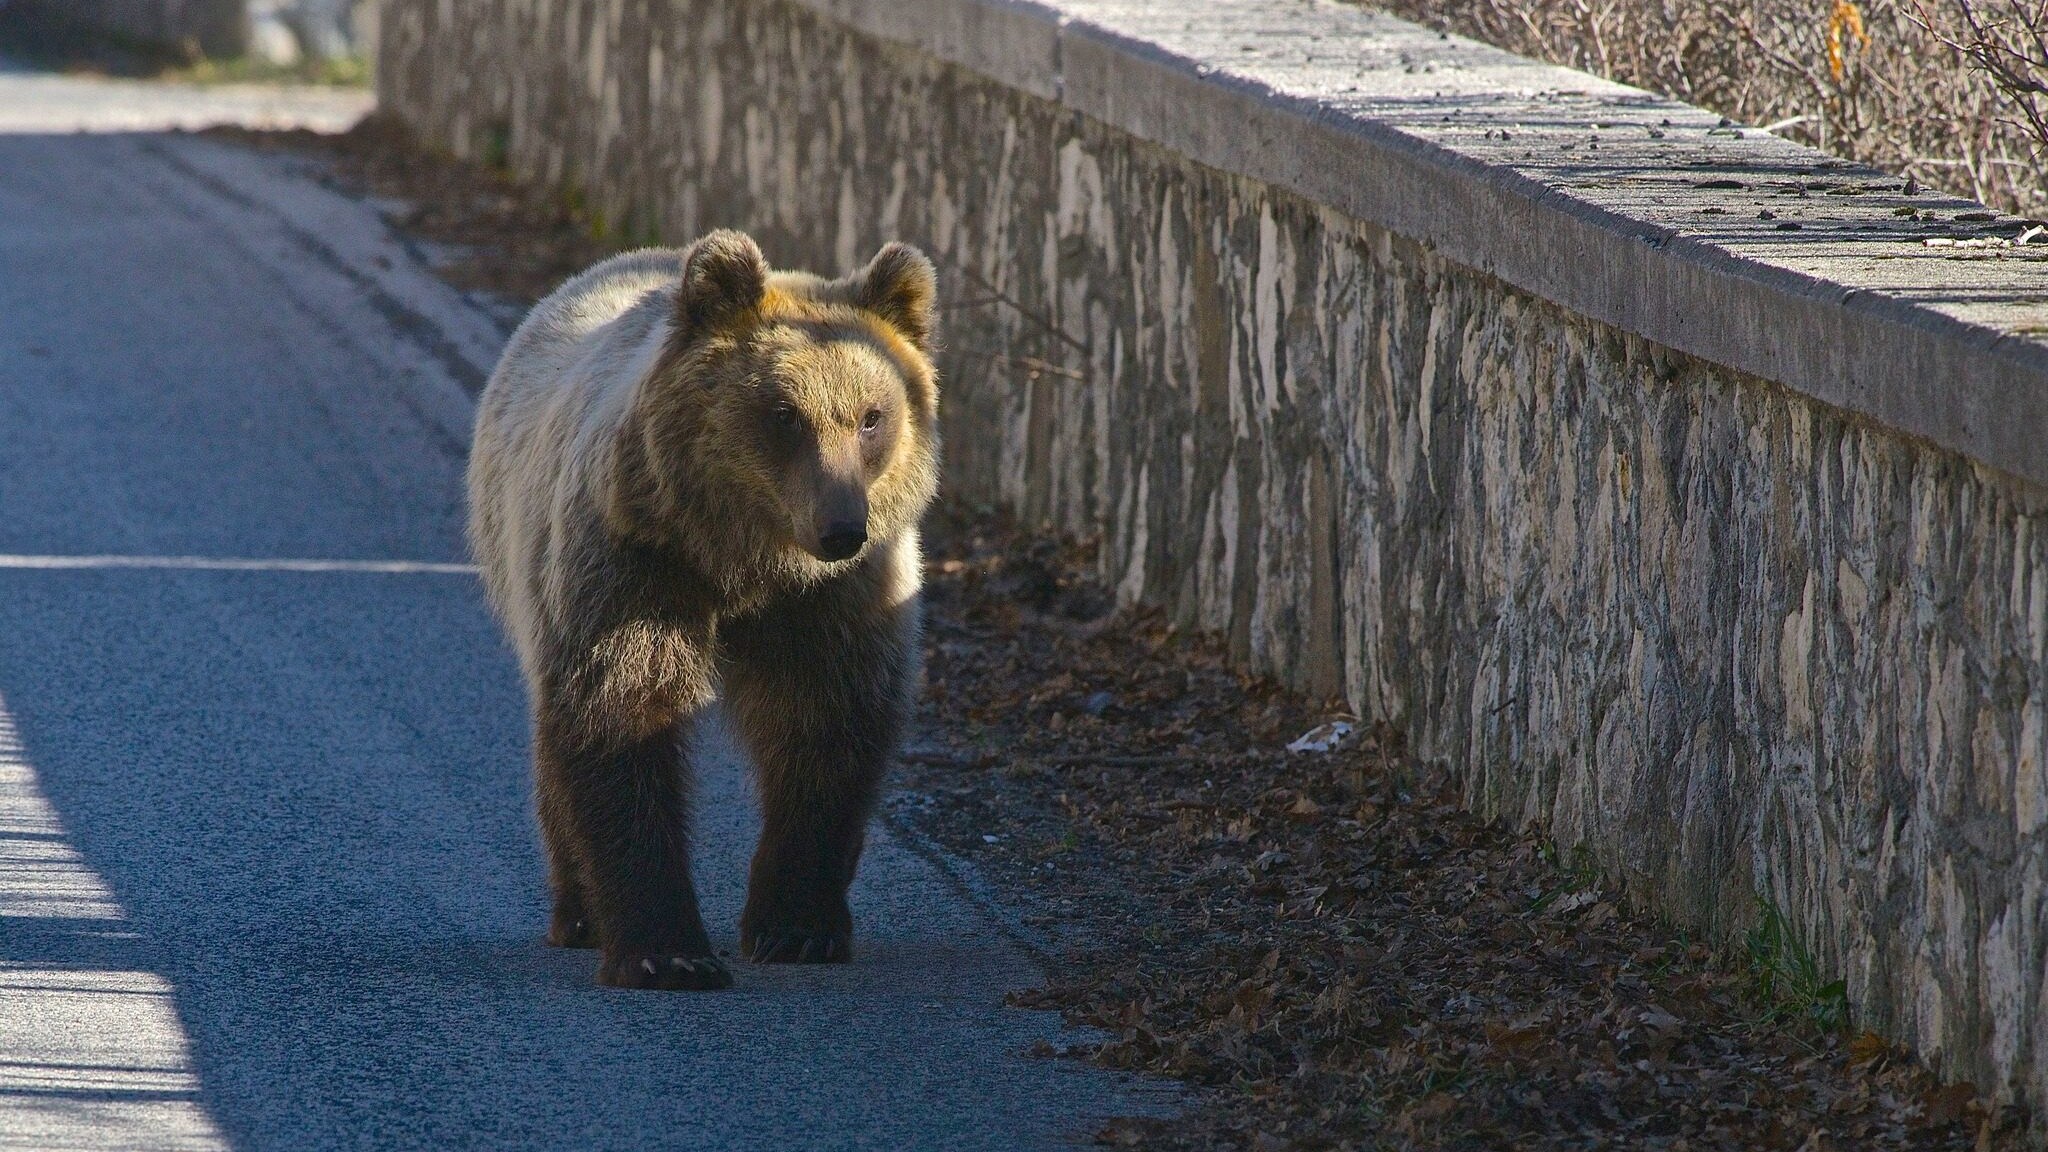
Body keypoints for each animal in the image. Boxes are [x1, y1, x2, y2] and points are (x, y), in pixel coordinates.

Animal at [467, 229, 940, 990]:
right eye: (785, 414)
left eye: (872, 416)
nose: (841, 528)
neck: (744, 561)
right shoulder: (636, 561)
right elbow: (624, 713)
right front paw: (667, 949)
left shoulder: (837, 599)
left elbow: (829, 723)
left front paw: (797, 926)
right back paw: (578, 912)